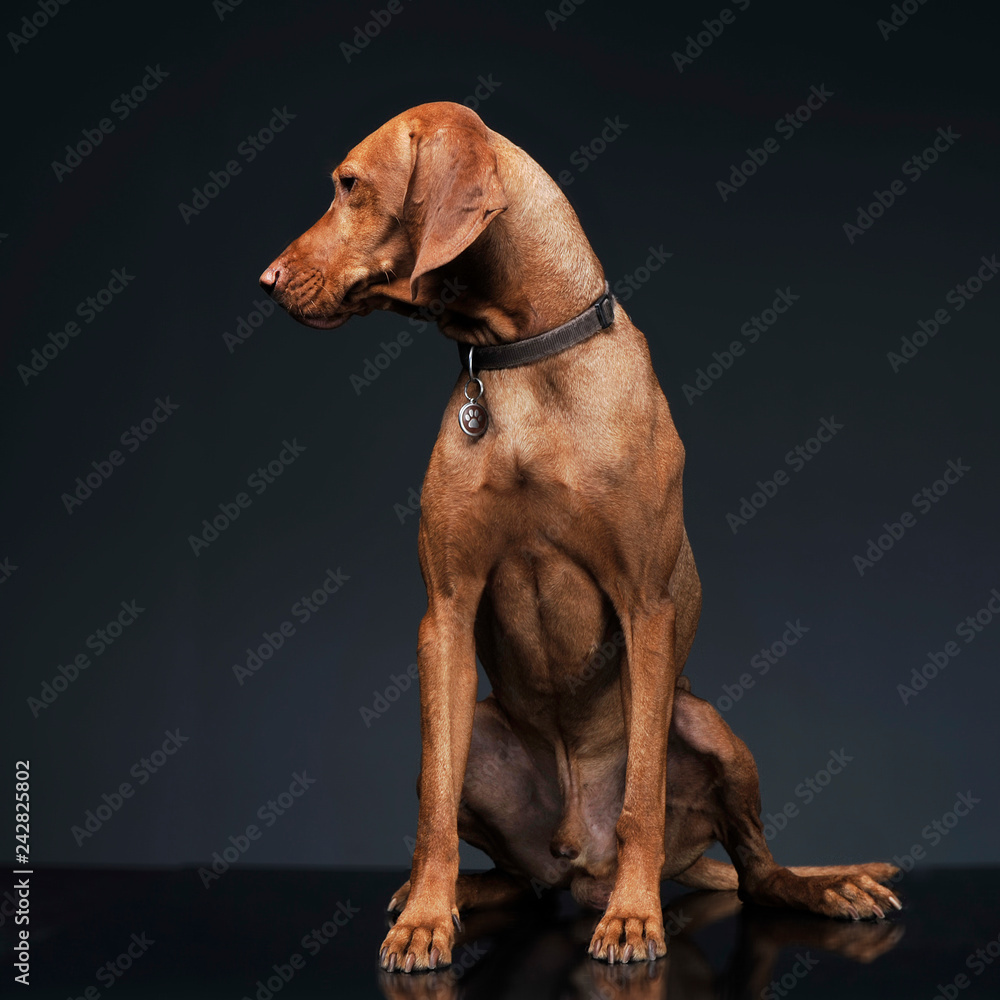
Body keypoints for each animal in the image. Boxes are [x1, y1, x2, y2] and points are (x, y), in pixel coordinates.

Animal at [262, 105, 904, 972]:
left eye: (350, 185)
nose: (266, 279)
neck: (523, 360)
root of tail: (577, 858)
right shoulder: (446, 612)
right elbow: (434, 811)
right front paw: (425, 919)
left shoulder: (645, 607)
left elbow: (640, 797)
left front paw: (635, 920)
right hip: (485, 734)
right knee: (514, 873)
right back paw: (447, 895)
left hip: (708, 727)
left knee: (755, 868)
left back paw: (821, 888)